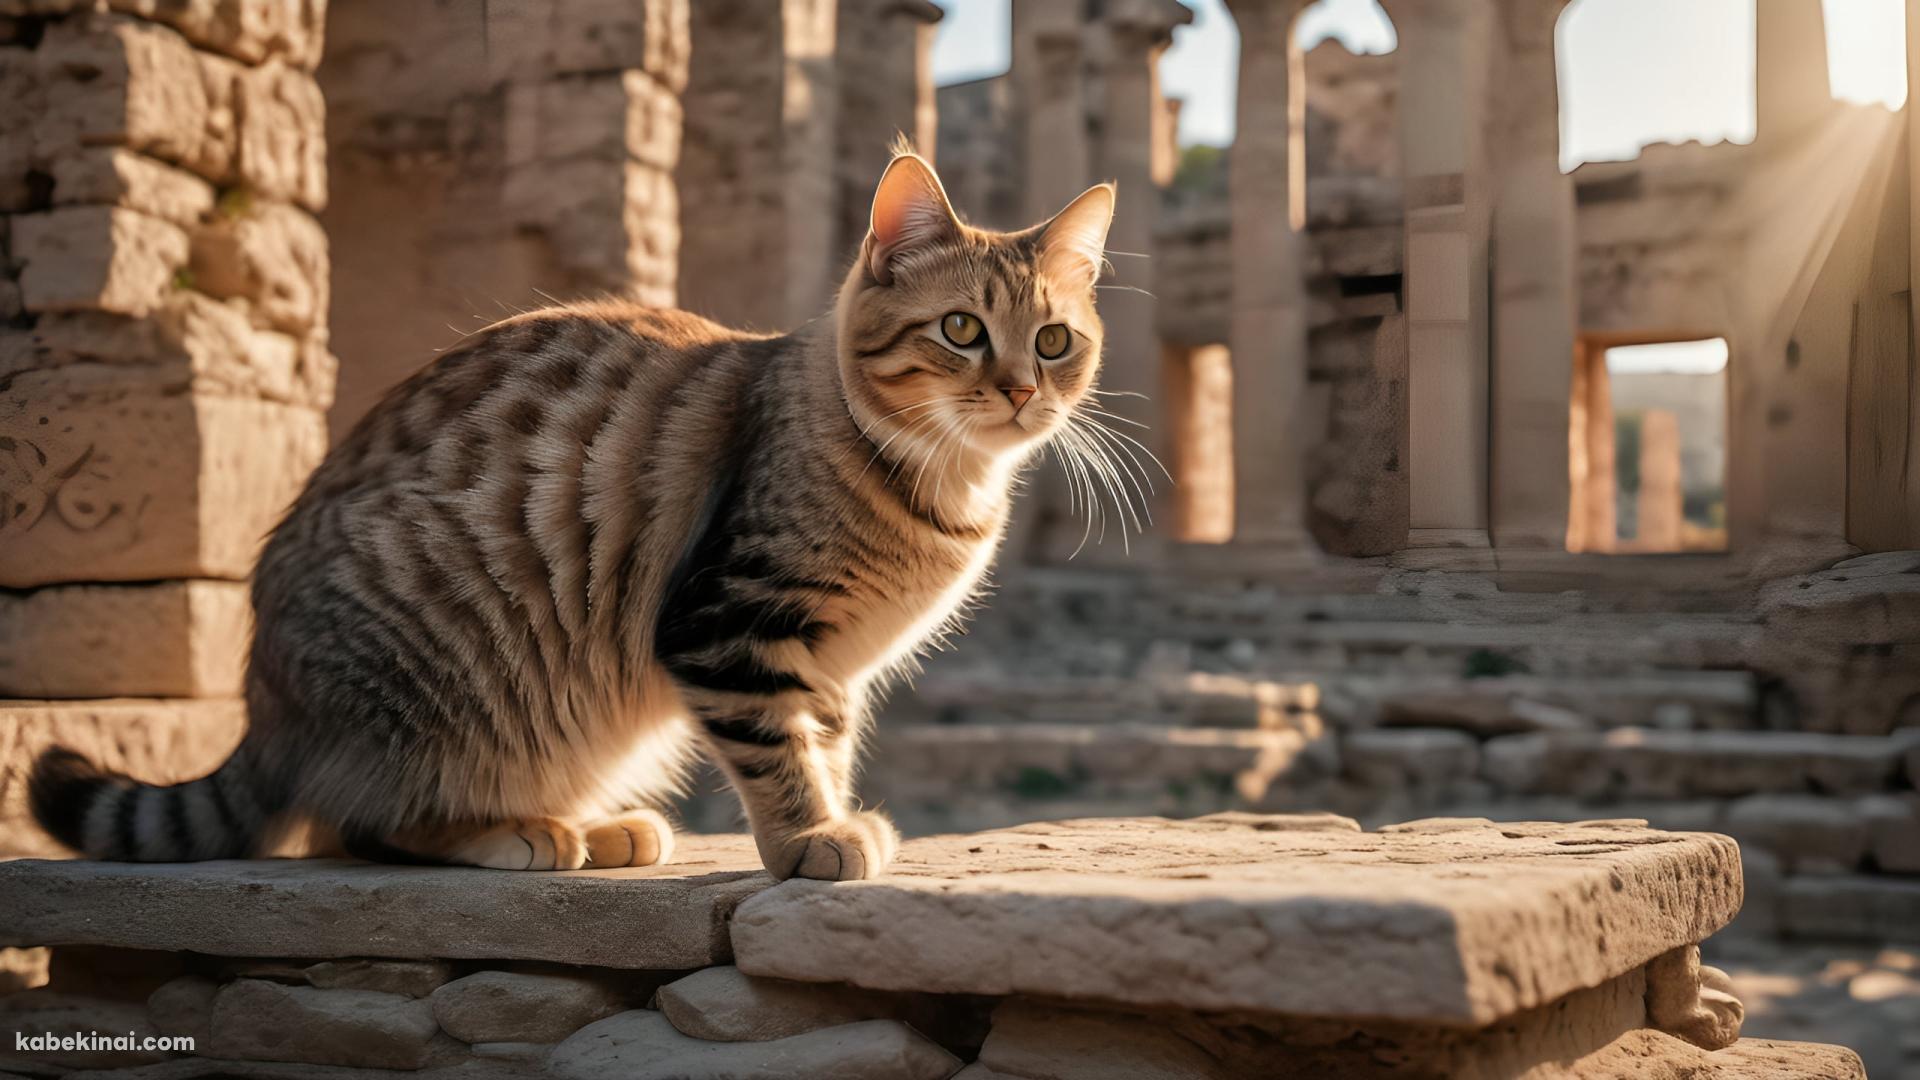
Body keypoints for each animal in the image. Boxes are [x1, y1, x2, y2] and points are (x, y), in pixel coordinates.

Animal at [30, 151, 1121, 880]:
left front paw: (828, 812)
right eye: (962, 330)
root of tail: (265, 709)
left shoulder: (829, 667)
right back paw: (521, 831)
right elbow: (777, 750)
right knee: (360, 823)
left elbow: (824, 738)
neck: (942, 488)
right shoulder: (726, 625)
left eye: (1054, 340)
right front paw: (811, 836)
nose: (1022, 390)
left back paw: (601, 825)